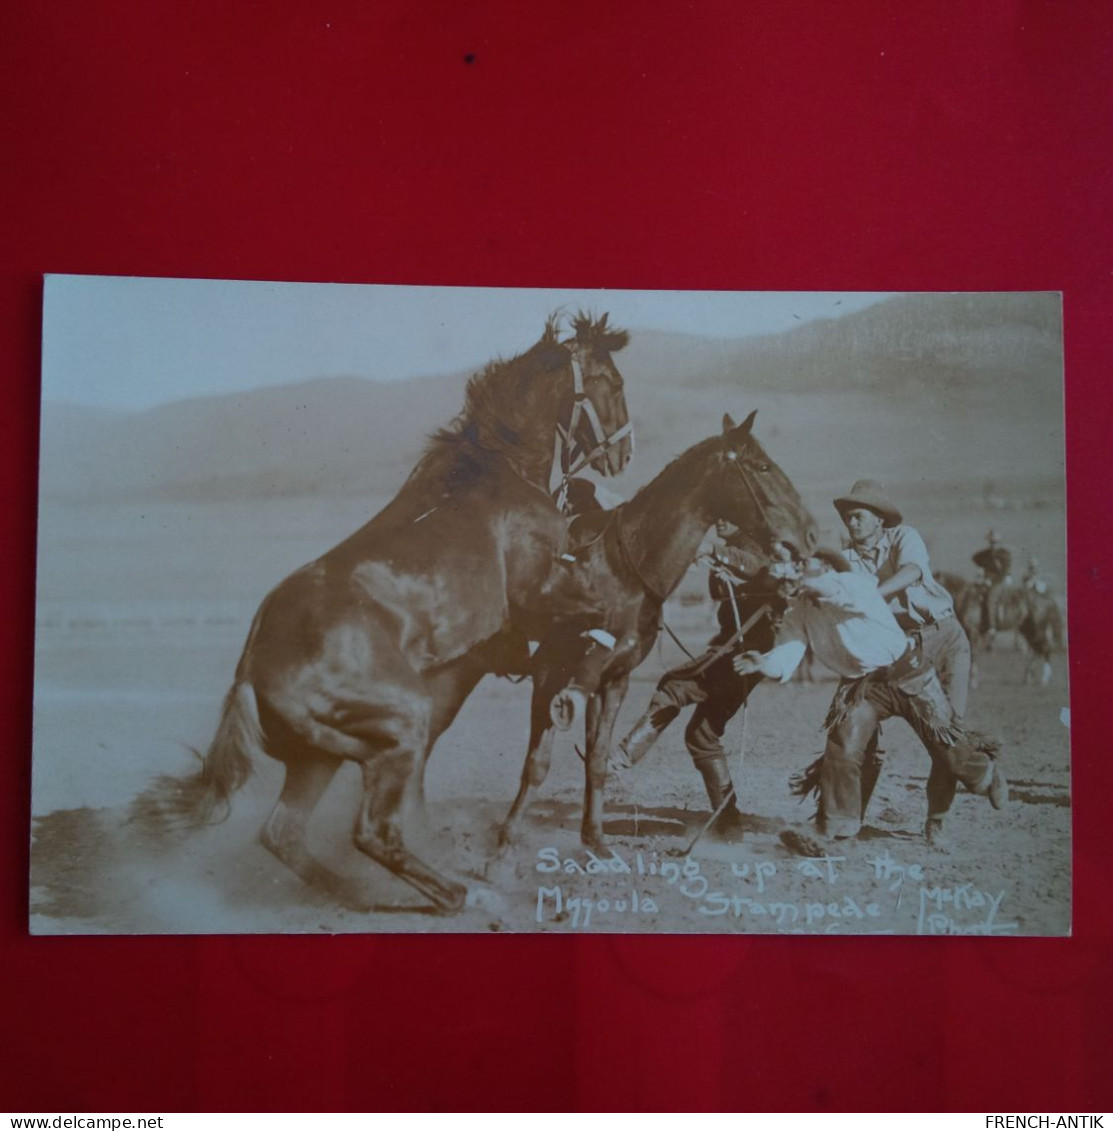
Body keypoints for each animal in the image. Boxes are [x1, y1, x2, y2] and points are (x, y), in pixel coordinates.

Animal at [136, 309, 633, 909]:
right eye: (612, 381)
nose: (624, 453)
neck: (500, 472)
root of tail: (252, 671)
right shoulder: (537, 595)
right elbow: (599, 608)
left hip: (318, 758)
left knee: (285, 834)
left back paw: (353, 890)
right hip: (399, 725)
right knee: (374, 830)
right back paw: (460, 894)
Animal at [495, 411, 818, 850]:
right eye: (763, 467)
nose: (811, 534)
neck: (619, 567)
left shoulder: (614, 679)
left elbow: (596, 759)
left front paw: (594, 839)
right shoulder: (549, 673)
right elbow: (537, 762)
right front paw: (507, 836)